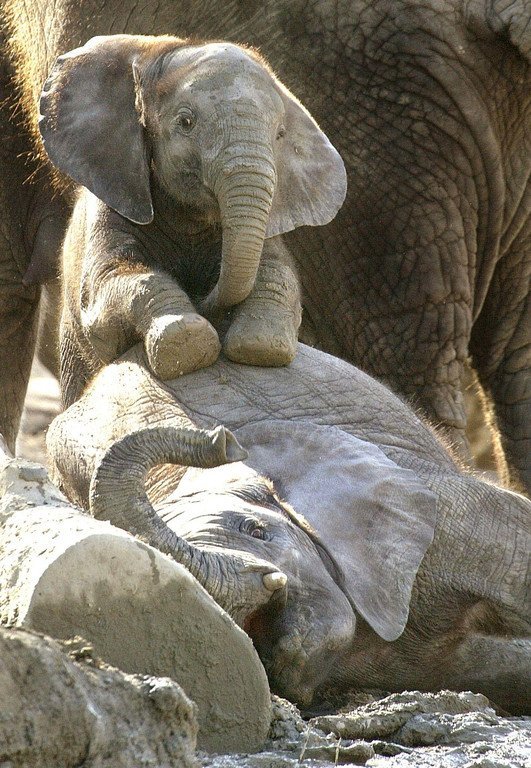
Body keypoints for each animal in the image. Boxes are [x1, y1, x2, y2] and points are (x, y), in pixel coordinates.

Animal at [38, 34, 345, 404]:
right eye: (186, 122)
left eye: (280, 135)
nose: (203, 300)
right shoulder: (113, 201)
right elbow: (109, 284)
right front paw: (185, 343)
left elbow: (277, 272)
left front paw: (261, 345)